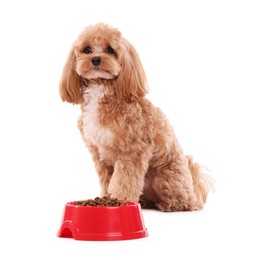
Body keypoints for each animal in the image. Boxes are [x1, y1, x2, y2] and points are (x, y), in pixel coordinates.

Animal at [59, 22, 211, 211]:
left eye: (110, 50)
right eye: (87, 49)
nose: (95, 59)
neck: (101, 91)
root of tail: (193, 189)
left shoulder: (132, 152)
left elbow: (123, 181)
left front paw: (120, 201)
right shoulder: (99, 153)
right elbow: (107, 180)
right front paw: (105, 198)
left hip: (165, 177)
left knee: (182, 201)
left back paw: (168, 204)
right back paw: (144, 202)